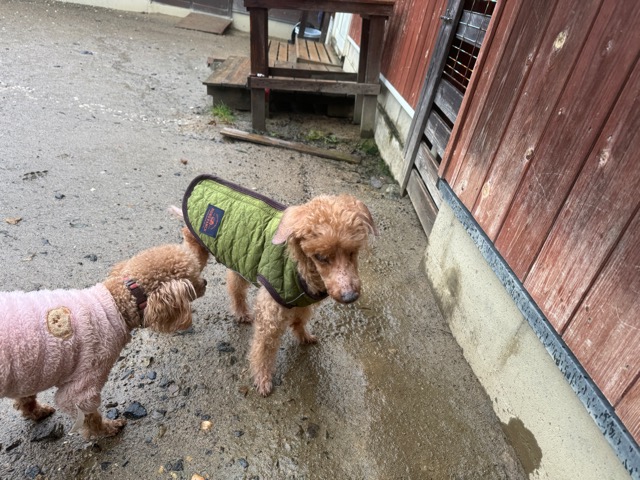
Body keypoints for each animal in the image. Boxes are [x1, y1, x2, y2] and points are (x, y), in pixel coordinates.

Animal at [0, 225, 209, 439]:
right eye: (194, 276)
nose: (206, 282)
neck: (120, 301)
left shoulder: (27, 375)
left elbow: (25, 399)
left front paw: (35, 412)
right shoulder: (85, 381)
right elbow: (90, 416)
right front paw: (108, 428)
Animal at [182, 175, 376, 396]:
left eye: (353, 251)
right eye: (320, 257)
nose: (350, 296)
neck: (300, 267)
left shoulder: (302, 302)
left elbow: (300, 321)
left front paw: (305, 337)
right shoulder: (271, 312)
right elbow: (263, 349)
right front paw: (263, 379)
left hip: (239, 261)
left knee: (235, 287)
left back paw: (241, 313)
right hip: (196, 251)